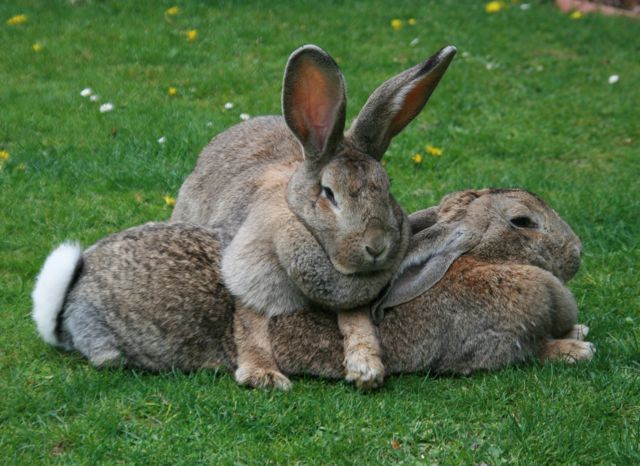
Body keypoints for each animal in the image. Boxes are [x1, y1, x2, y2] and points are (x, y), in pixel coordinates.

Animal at [31, 187, 596, 380]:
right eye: (522, 222)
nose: (577, 250)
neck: (469, 262)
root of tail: (72, 298)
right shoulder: (486, 353)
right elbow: (534, 352)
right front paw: (575, 350)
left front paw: (579, 333)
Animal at [168, 43, 458, 388]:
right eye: (329, 194)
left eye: (388, 188)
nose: (376, 245)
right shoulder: (247, 272)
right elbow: (250, 322)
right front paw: (263, 374)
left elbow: (356, 319)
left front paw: (366, 368)